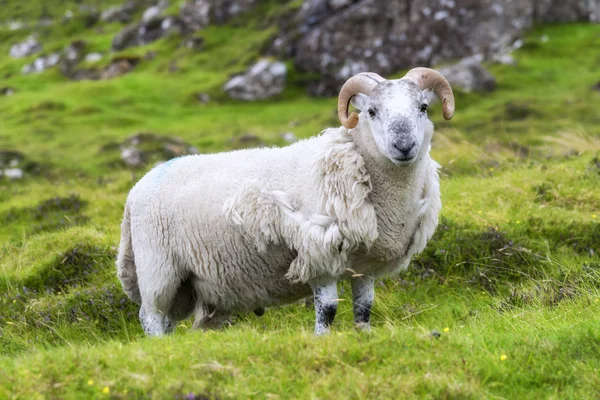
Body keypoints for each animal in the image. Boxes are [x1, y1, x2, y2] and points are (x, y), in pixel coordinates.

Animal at [117, 67, 454, 336]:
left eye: (423, 107)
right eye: (371, 111)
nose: (404, 146)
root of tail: (136, 191)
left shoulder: (364, 267)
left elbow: (364, 308)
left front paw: (364, 334)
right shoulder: (318, 254)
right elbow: (328, 310)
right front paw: (322, 340)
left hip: (185, 283)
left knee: (167, 320)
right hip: (158, 269)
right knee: (151, 316)